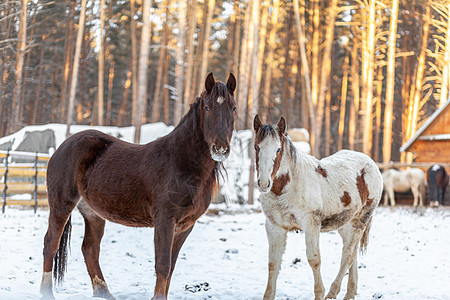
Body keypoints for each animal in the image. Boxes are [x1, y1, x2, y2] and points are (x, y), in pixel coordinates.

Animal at [40, 73, 237, 300]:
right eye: (207, 107)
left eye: (233, 108)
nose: (220, 148)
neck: (181, 162)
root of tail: (63, 146)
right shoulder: (165, 220)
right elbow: (163, 265)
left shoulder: (185, 226)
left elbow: (171, 267)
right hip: (61, 204)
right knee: (51, 243)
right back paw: (46, 293)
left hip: (93, 212)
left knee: (89, 249)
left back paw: (104, 292)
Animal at [253, 115, 384, 300]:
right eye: (256, 147)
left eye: (278, 149)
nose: (264, 183)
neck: (288, 186)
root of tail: (370, 163)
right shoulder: (274, 227)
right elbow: (273, 263)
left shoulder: (311, 224)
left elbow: (314, 260)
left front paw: (320, 293)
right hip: (345, 224)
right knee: (352, 253)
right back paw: (350, 293)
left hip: (360, 220)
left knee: (348, 254)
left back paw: (333, 292)